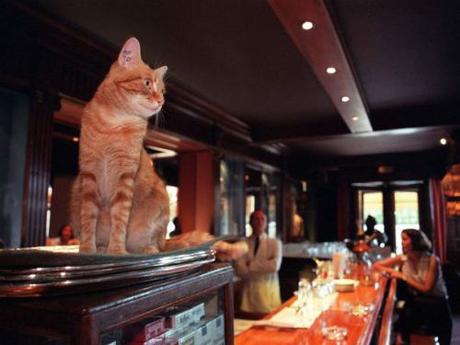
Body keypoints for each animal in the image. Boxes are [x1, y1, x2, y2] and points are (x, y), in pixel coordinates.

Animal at [70, 37, 167, 254]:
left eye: (163, 90)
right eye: (147, 83)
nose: (161, 101)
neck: (114, 123)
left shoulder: (125, 177)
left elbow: (120, 218)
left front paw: (116, 249)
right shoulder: (89, 173)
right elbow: (88, 217)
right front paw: (87, 248)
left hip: (160, 203)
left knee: (157, 243)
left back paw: (146, 249)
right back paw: (101, 246)